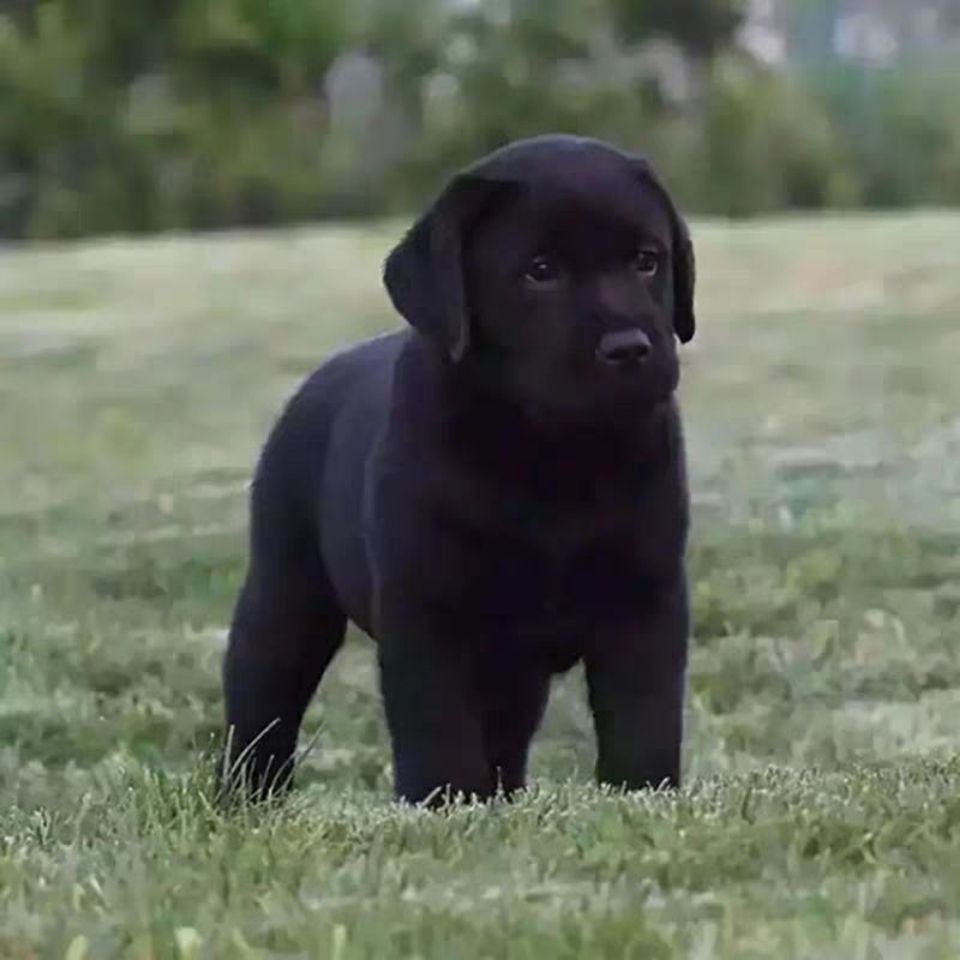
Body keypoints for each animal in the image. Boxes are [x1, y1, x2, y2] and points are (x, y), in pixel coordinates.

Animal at [221, 135, 692, 804]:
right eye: (540, 271)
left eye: (648, 261)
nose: (629, 348)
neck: (552, 453)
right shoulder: (428, 613)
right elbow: (437, 728)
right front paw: (445, 804)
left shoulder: (645, 599)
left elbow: (643, 719)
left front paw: (643, 796)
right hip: (285, 599)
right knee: (260, 706)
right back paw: (246, 799)